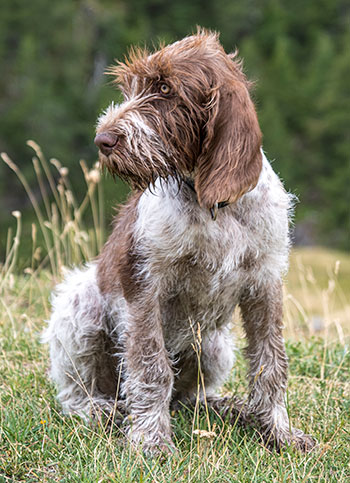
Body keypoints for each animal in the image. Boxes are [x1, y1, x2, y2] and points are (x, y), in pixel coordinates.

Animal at [42, 29, 316, 454]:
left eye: (166, 89)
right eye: (132, 87)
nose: (102, 139)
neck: (212, 204)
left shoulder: (265, 284)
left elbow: (271, 363)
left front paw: (278, 432)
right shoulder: (145, 287)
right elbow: (151, 367)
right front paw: (150, 442)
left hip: (215, 345)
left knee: (186, 398)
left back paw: (226, 408)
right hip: (81, 304)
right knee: (76, 393)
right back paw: (101, 410)